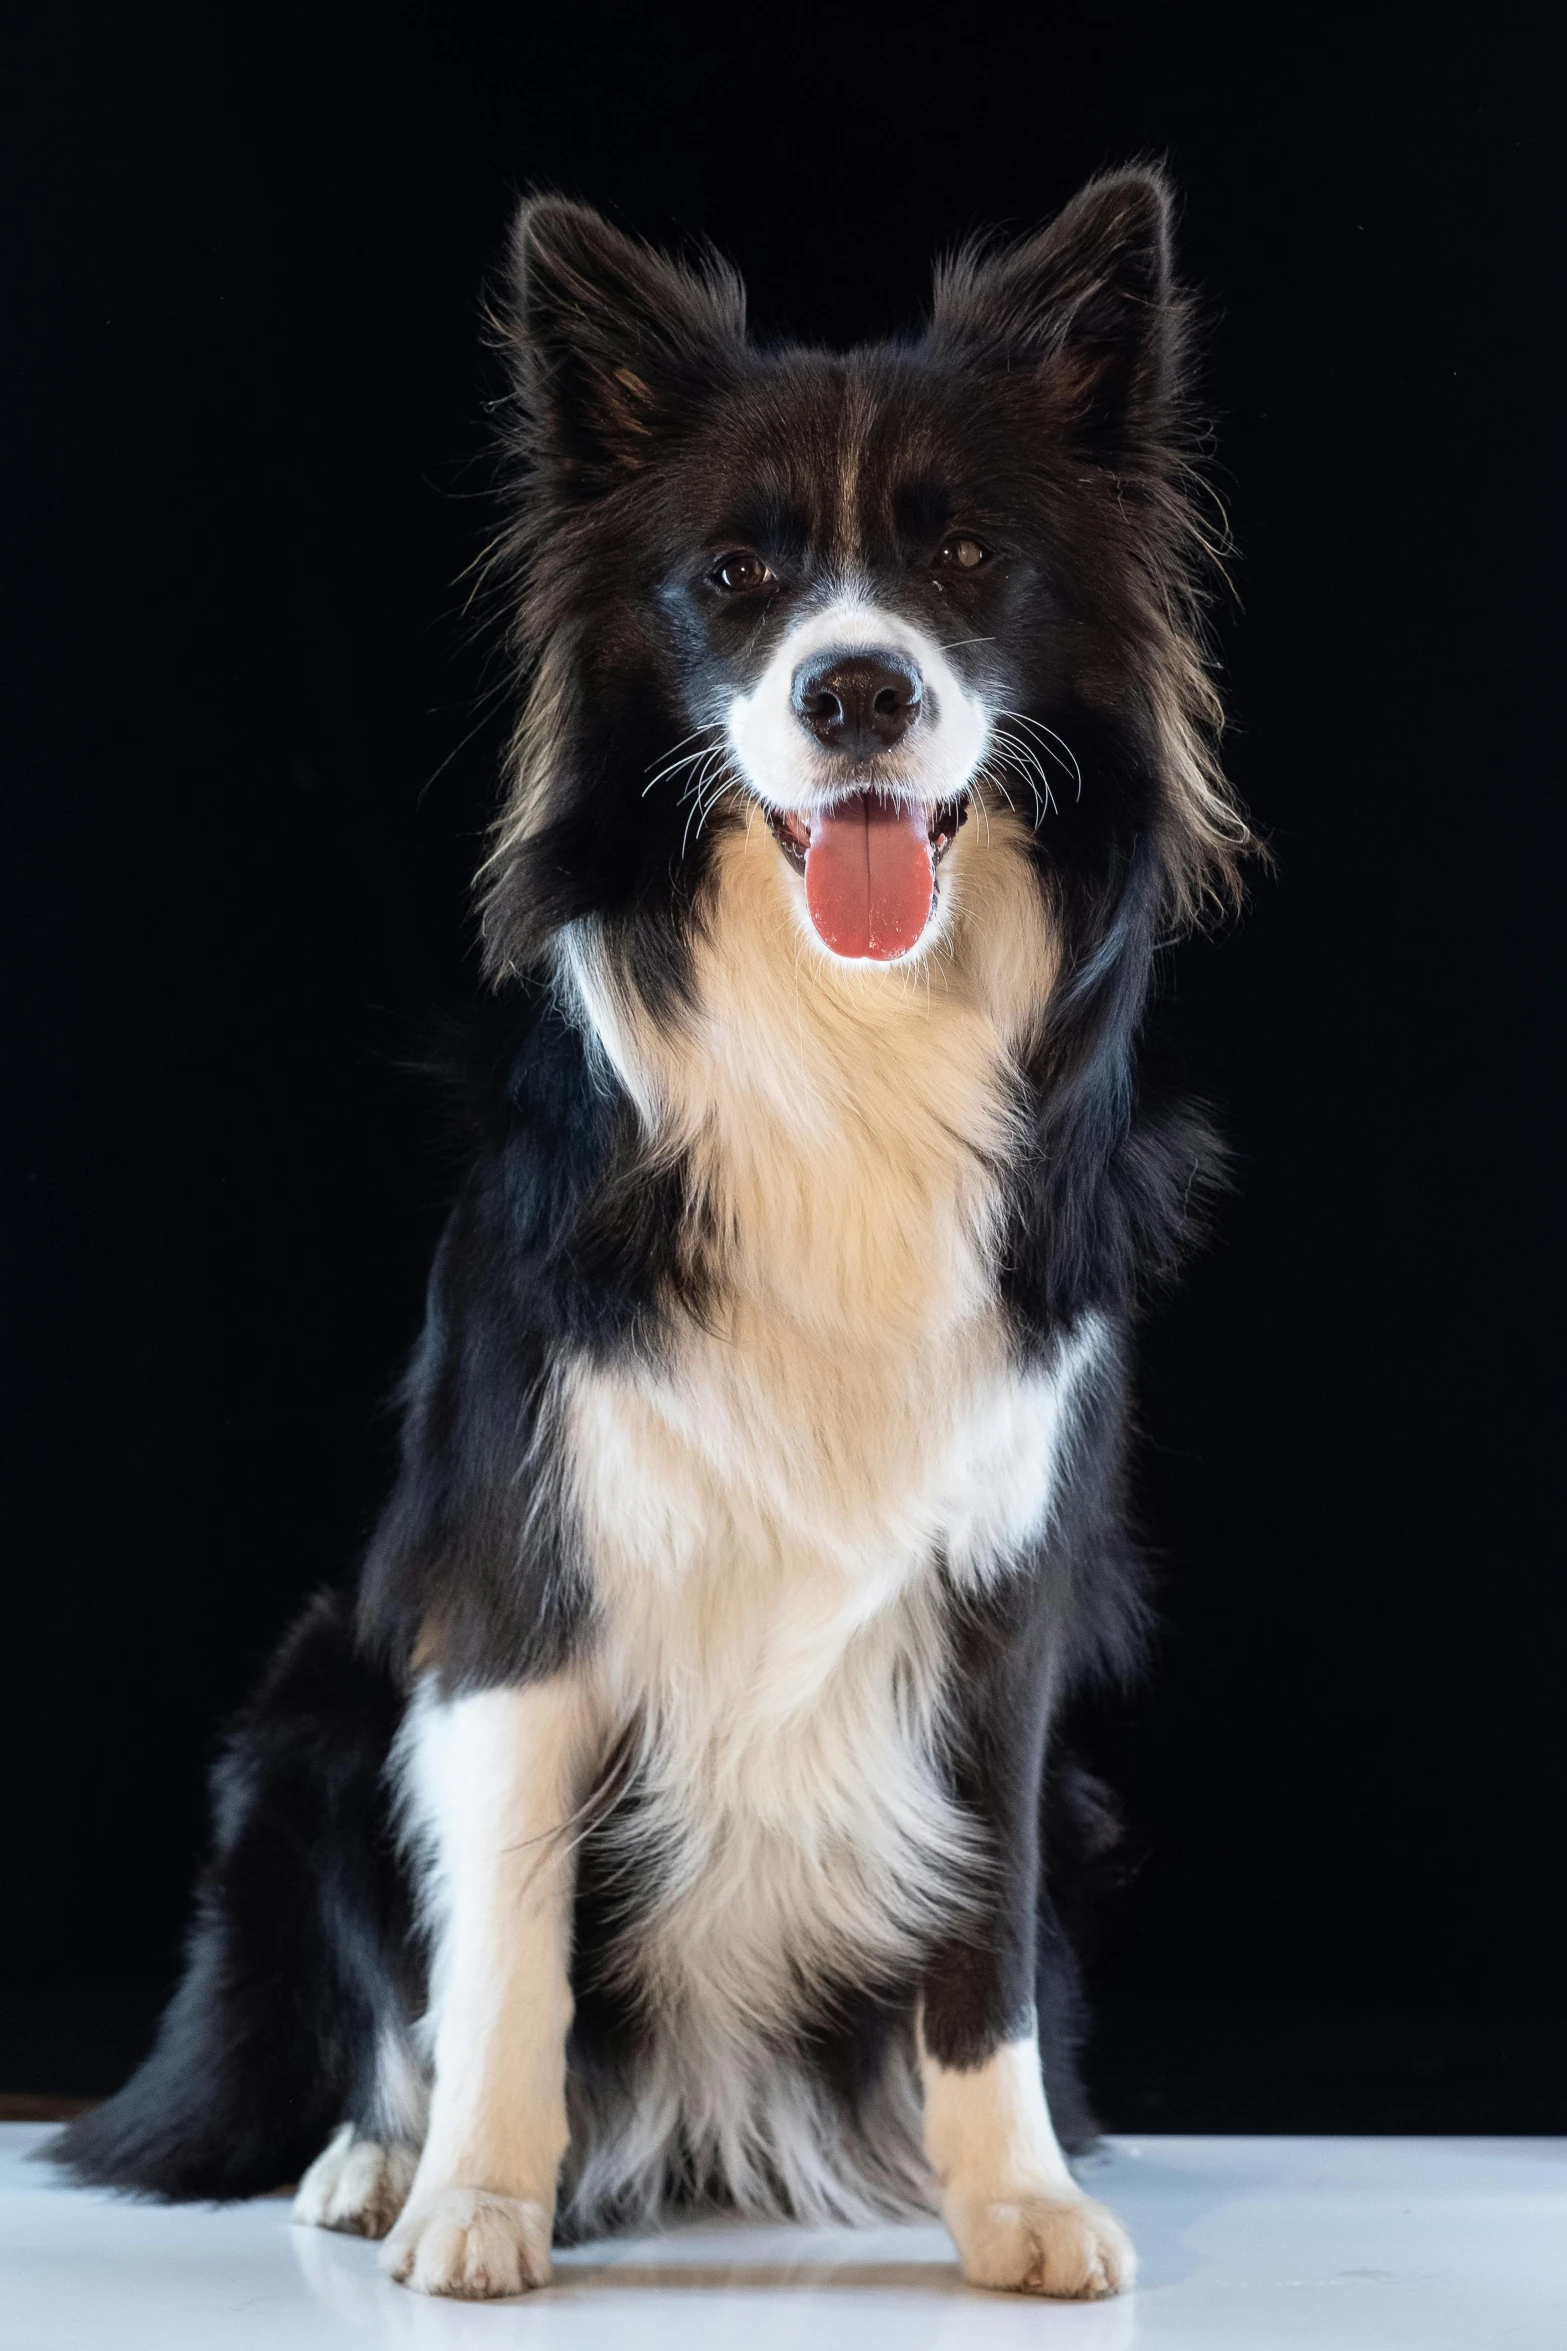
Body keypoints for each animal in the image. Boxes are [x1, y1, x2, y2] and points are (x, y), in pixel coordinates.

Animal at [58, 170, 1249, 2313]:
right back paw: (374, 2161)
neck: (841, 1052)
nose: (855, 689)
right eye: (736, 575)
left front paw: (1015, 2201)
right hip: (311, 1714)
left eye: (964, 555)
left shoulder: (1002, 1598)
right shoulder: (522, 1583)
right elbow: (508, 1943)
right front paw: (476, 2203)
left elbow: (981, 1939)